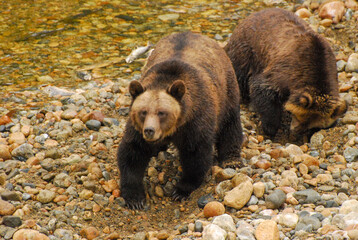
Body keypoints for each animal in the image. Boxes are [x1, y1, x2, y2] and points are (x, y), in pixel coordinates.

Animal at [117, 31, 243, 208]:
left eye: (161, 112)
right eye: (143, 112)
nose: (149, 131)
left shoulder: (196, 119)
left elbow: (195, 154)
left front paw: (181, 190)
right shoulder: (137, 129)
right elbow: (133, 152)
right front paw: (135, 197)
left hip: (226, 88)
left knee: (230, 123)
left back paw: (231, 159)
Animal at [224, 7, 346, 137]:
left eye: (312, 125)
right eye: (301, 117)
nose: (294, 132)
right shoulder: (285, 71)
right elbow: (263, 89)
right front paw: (270, 128)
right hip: (246, 51)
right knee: (239, 75)